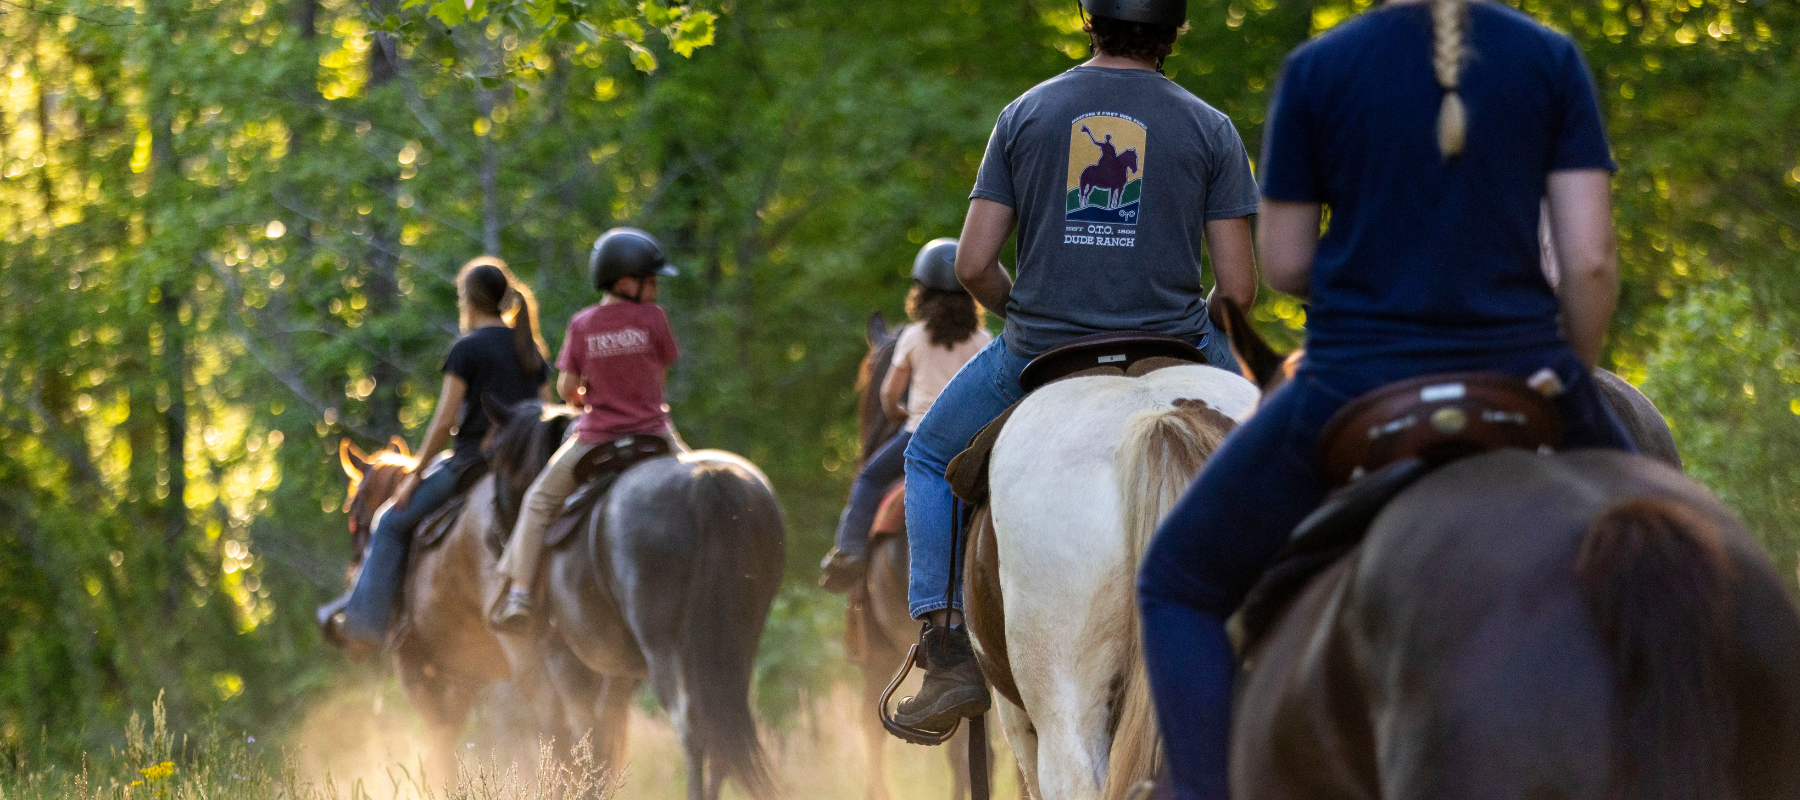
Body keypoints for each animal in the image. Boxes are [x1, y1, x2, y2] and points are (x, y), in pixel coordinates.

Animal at [324, 437, 584, 781]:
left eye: (352, 511)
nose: (354, 566)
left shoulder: (414, 669)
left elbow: (440, 743)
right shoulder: (463, 677)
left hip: (523, 645)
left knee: (554, 712)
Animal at [482, 400, 786, 800]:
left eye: (494, 458)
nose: (491, 536)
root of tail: (709, 481)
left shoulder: (564, 656)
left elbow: (583, 733)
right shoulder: (618, 672)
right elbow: (604, 737)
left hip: (666, 649)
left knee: (693, 727)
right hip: (737, 642)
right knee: (723, 722)